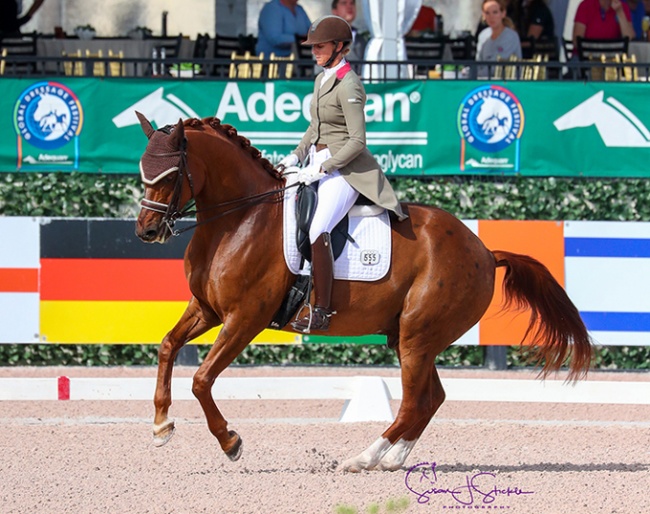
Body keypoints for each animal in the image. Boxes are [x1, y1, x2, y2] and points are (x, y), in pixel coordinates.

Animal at [133, 114, 592, 470]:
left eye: (171, 175)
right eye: (142, 170)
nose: (147, 232)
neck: (240, 219)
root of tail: (483, 250)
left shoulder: (245, 318)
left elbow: (202, 380)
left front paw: (230, 442)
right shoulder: (207, 309)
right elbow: (167, 346)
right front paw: (160, 426)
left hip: (418, 335)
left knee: (413, 402)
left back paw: (363, 458)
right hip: (411, 337)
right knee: (431, 398)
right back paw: (392, 459)